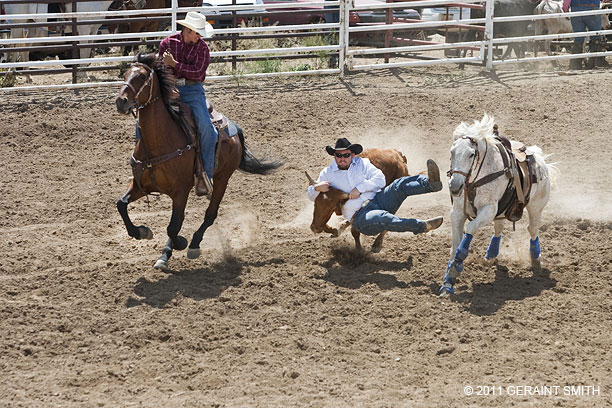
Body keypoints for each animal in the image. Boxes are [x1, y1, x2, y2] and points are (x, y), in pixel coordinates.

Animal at [115, 54, 282, 270]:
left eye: (142, 77)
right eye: (125, 74)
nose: (121, 101)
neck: (157, 144)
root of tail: (234, 128)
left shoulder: (181, 191)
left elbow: (173, 227)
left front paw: (179, 244)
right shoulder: (139, 185)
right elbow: (121, 204)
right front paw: (142, 231)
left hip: (222, 180)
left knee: (210, 214)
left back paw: (193, 244)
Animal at [440, 115, 560, 296]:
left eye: (471, 154)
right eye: (452, 152)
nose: (454, 186)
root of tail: (541, 160)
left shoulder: (488, 210)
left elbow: (469, 231)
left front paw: (458, 264)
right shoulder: (457, 213)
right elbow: (454, 246)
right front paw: (448, 281)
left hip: (536, 207)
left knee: (532, 230)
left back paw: (535, 258)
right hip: (503, 209)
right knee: (499, 227)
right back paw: (491, 253)